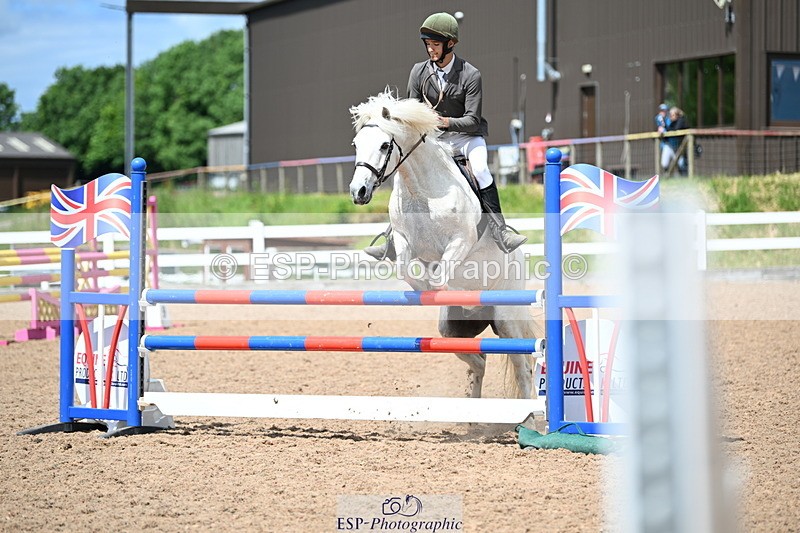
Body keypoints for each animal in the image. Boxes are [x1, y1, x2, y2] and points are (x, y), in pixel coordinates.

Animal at [348, 90, 540, 399]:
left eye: (384, 144)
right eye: (356, 144)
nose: (359, 192)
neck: (421, 191)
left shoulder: (460, 241)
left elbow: (438, 279)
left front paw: (436, 288)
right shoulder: (404, 240)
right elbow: (406, 270)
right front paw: (424, 290)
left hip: (507, 318)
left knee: (523, 367)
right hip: (451, 330)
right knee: (479, 359)